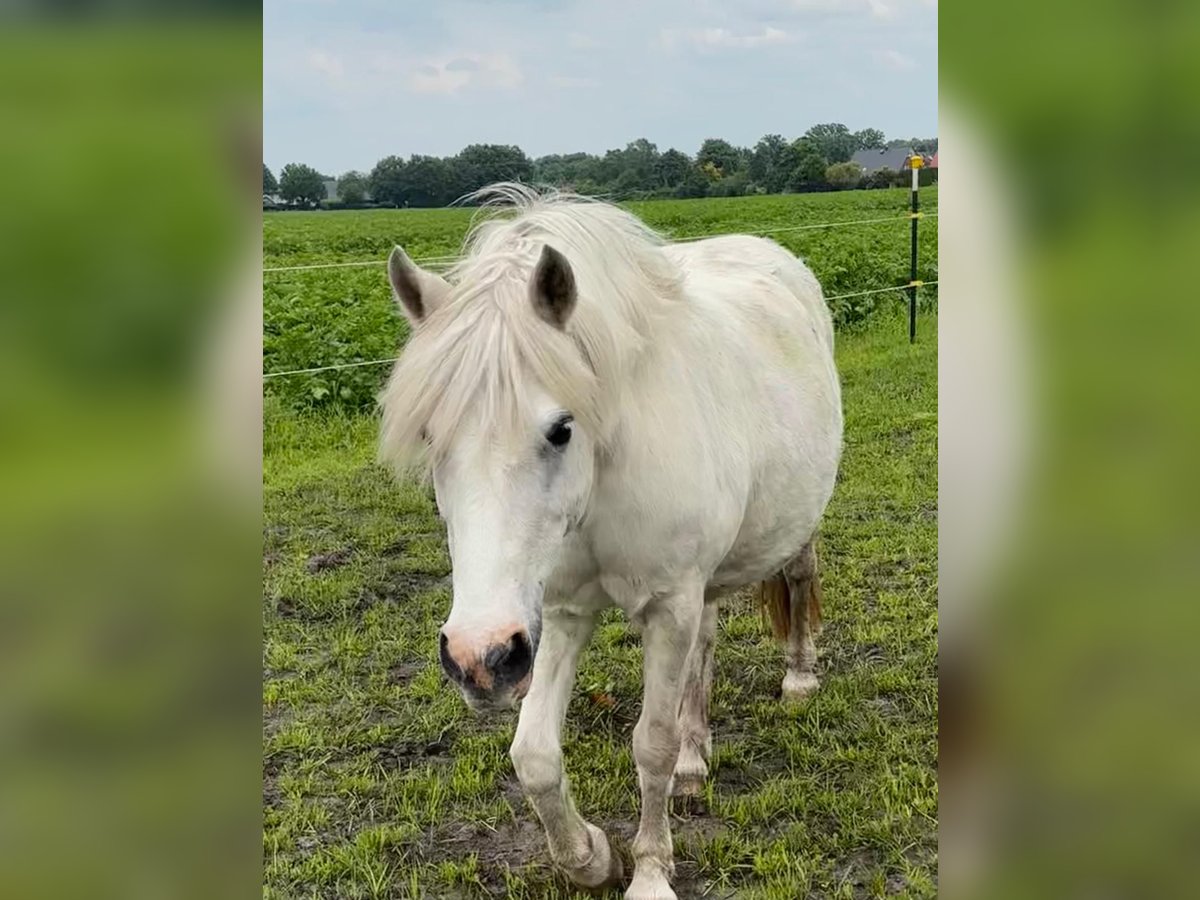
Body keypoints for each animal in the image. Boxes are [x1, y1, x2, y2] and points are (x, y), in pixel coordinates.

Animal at [381, 184, 844, 900]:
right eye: (431, 435)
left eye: (561, 428)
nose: (478, 658)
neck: (604, 484)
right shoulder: (563, 613)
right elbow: (534, 754)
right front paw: (591, 857)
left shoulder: (666, 605)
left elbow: (649, 743)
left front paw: (650, 872)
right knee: (706, 642)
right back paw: (695, 758)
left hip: (793, 524)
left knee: (796, 578)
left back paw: (797, 678)